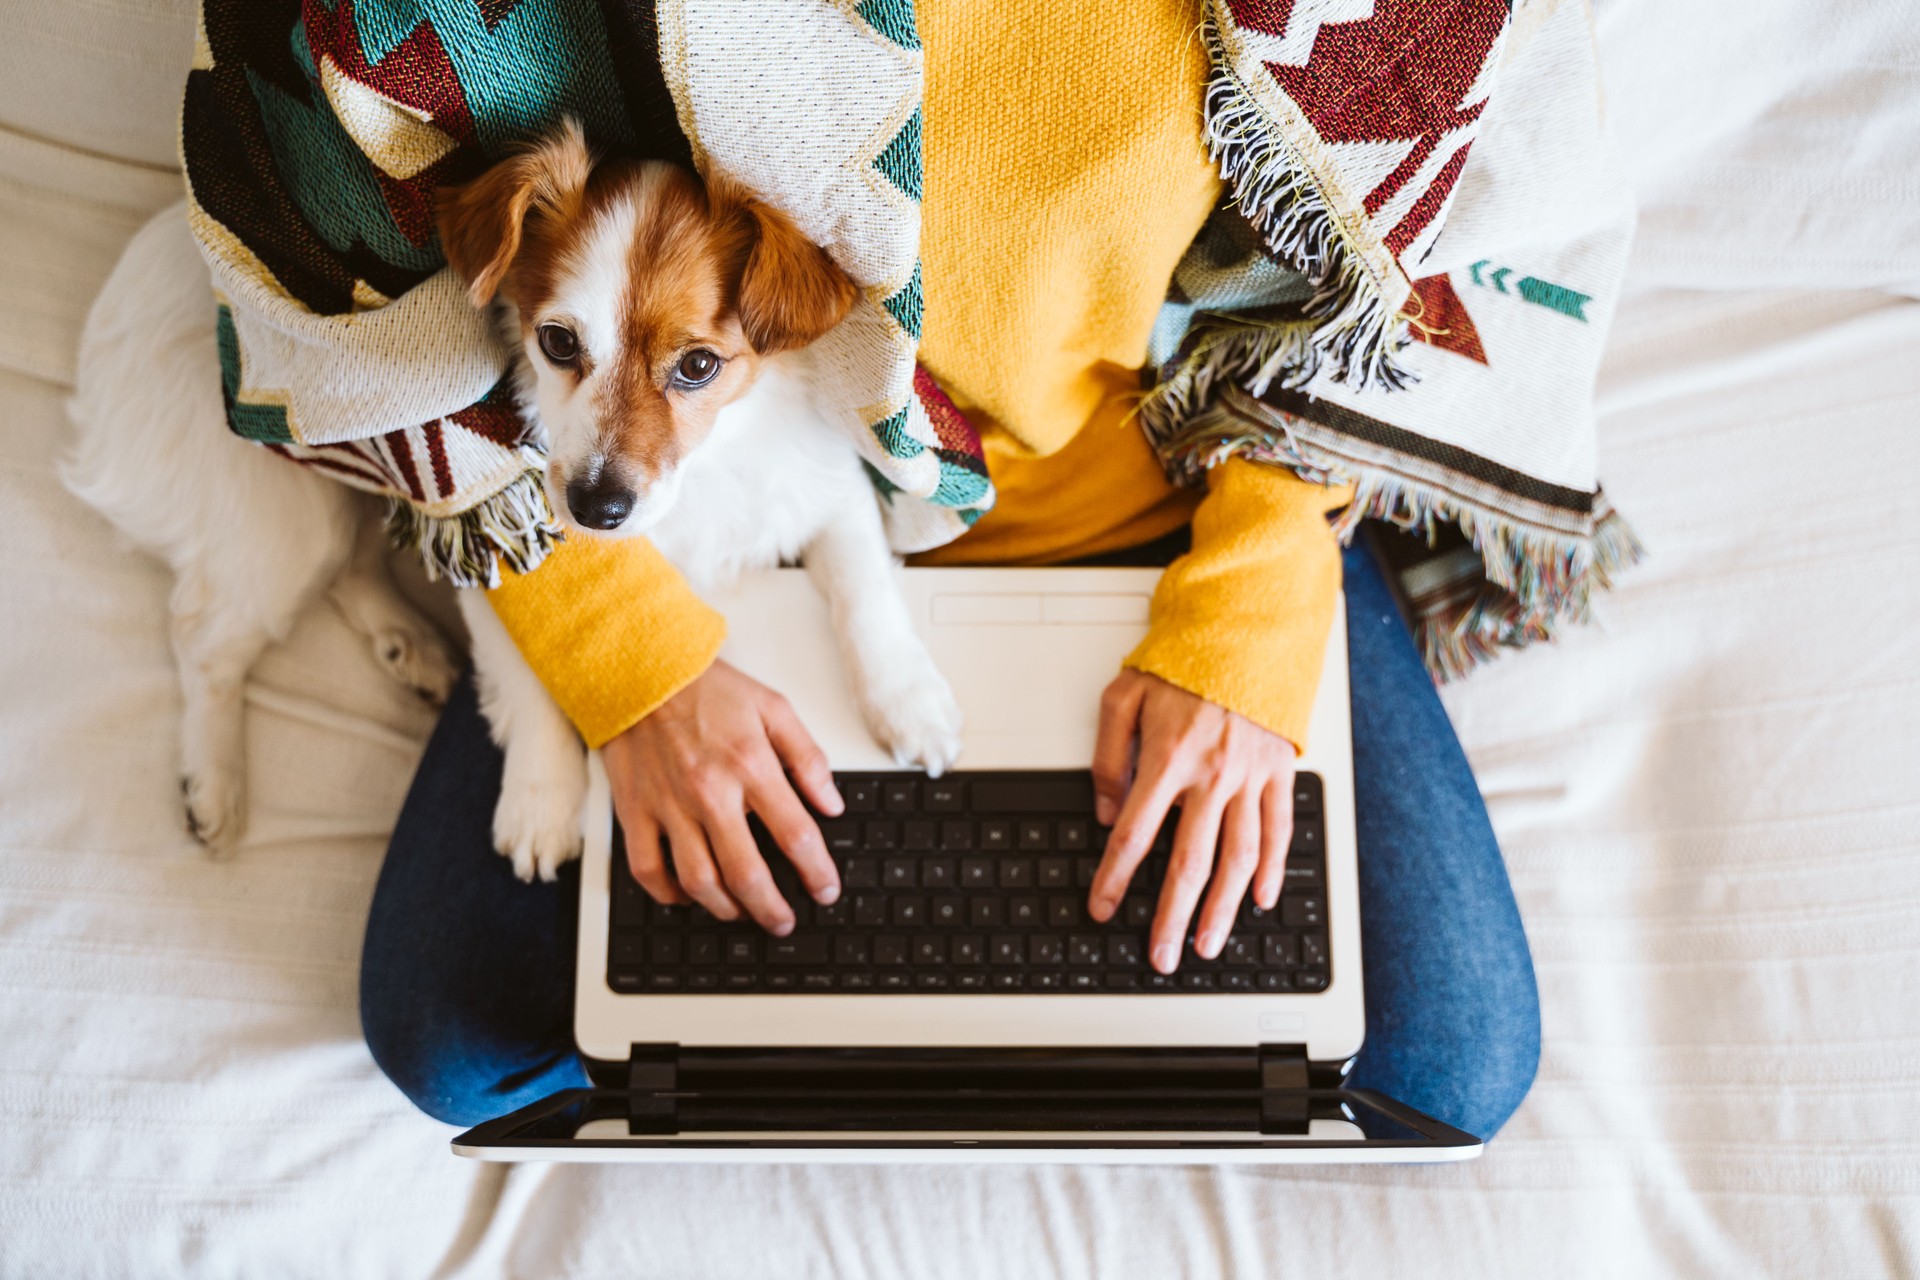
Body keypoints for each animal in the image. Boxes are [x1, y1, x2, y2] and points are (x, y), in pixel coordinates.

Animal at [67, 122, 967, 882]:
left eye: (700, 367)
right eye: (559, 343)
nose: (597, 509)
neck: (699, 480)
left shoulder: (827, 490)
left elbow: (864, 592)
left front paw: (910, 703)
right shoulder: (494, 540)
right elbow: (531, 676)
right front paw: (541, 802)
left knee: (347, 568)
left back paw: (406, 648)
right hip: (285, 520)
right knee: (206, 641)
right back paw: (212, 783)